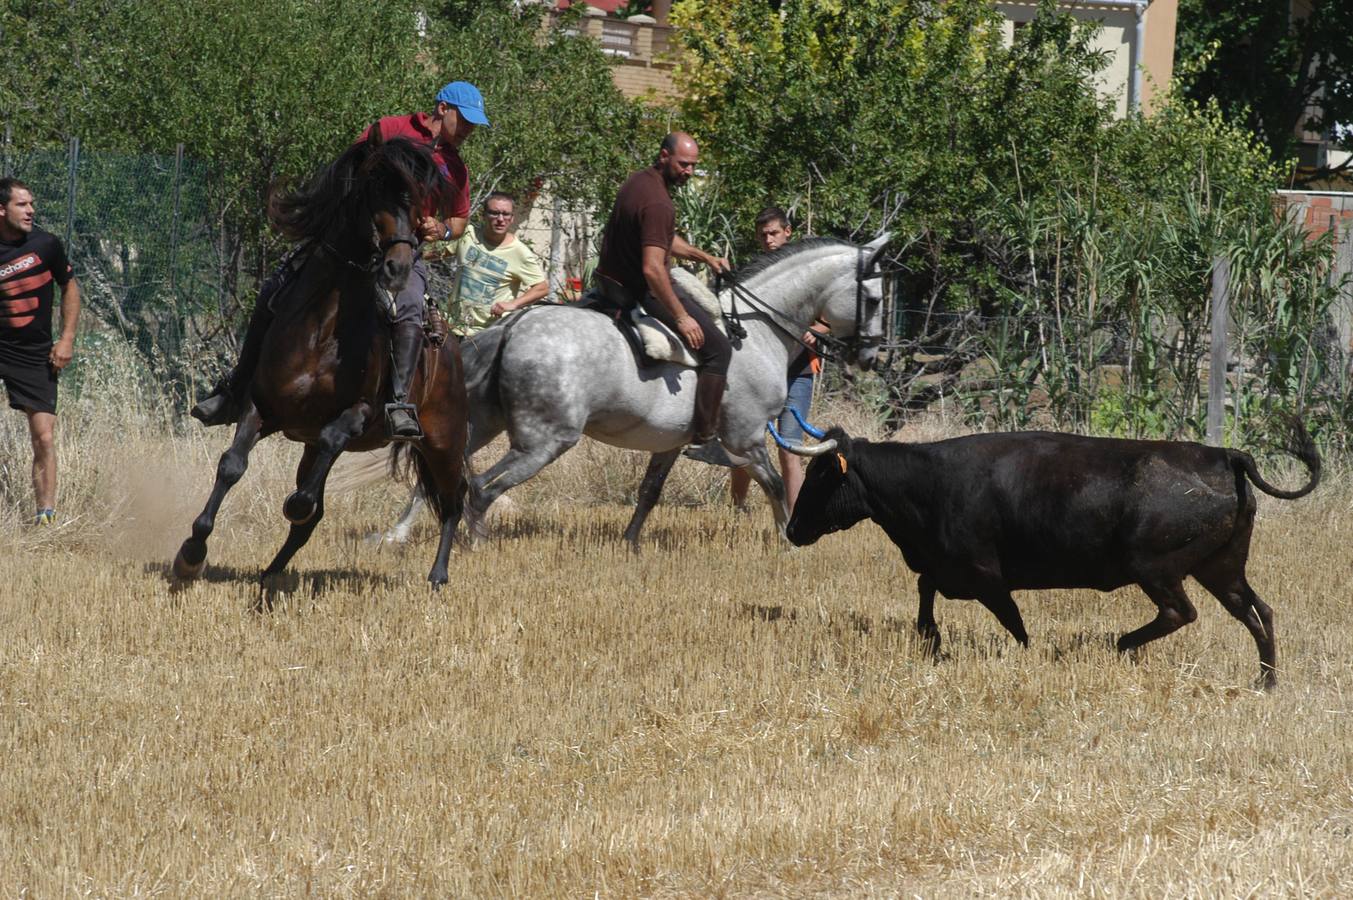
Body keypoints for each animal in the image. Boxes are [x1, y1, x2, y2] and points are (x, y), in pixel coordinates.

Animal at [171, 133, 468, 592]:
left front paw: (295, 503)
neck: (323, 326)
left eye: (417, 198)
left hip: (443, 441)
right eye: (371, 191)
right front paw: (191, 553)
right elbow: (232, 466)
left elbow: (323, 455)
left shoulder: (358, 415)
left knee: (454, 499)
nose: (398, 266)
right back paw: (270, 573)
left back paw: (437, 576)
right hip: (317, 447)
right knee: (313, 521)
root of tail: (453, 347)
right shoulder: (261, 407)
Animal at [368, 235, 887, 544]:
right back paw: (471, 541)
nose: (873, 357)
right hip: (545, 441)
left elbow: (649, 492)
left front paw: (631, 542)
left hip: (482, 423)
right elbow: (777, 484)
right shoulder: (746, 438)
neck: (757, 331)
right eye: (874, 298)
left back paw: (397, 535)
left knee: (443, 473)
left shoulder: (673, 444)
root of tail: (515, 324)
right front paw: (787, 539)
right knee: (480, 488)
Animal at [784, 422, 1320, 687]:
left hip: (1156, 568)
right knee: (1257, 610)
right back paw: (1266, 680)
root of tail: (1225, 455)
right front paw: (932, 641)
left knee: (1180, 612)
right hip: (1222, 567)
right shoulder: (946, 568)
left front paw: (1027, 653)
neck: (927, 483)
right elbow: (925, 590)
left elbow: (1012, 621)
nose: (791, 529)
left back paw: (1121, 644)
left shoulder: (983, 574)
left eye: (820, 475)